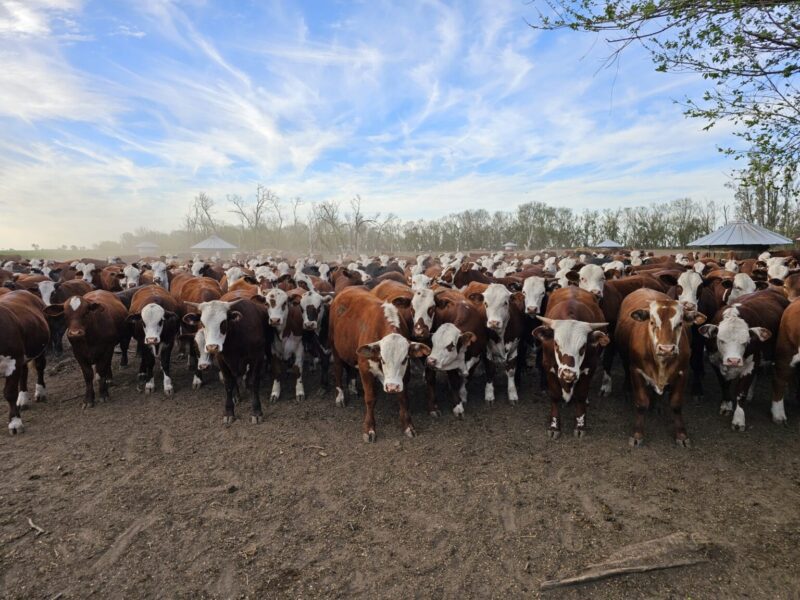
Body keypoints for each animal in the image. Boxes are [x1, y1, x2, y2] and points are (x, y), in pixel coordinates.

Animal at [0, 290, 50, 432]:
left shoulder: (13, 361)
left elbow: (10, 392)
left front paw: (15, 422)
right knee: (24, 372)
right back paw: (22, 400)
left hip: (40, 348)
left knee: (39, 367)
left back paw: (40, 392)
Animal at [536, 288, 608, 438]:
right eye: (556, 344)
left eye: (583, 347)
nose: (568, 374)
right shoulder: (548, 366)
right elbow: (554, 395)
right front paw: (554, 426)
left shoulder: (590, 367)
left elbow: (581, 395)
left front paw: (580, 424)